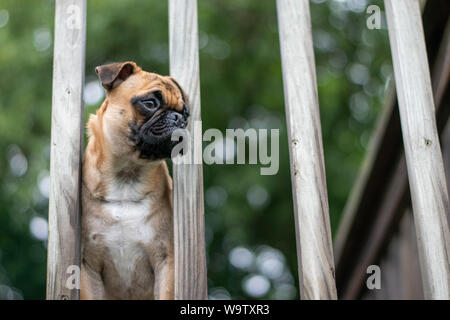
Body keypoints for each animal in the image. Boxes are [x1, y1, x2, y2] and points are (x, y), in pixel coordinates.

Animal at [81, 61, 188, 298]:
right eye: (150, 103)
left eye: (186, 113)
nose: (179, 119)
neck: (127, 177)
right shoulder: (88, 267)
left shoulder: (166, 262)